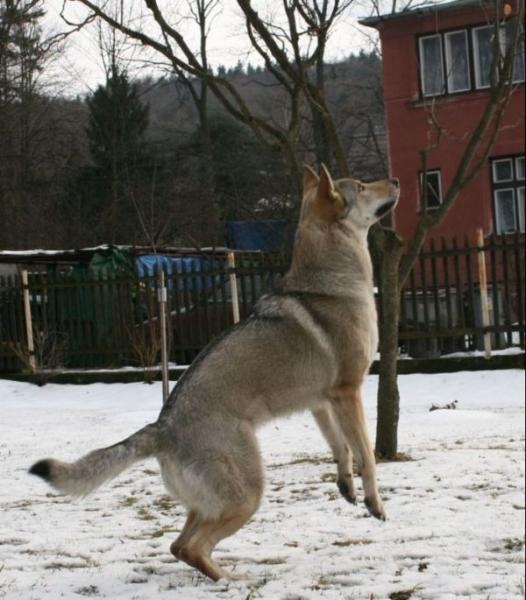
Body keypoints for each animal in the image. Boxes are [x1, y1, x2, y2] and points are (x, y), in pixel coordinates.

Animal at [29, 164, 400, 580]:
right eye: (363, 187)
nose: (396, 181)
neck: (330, 281)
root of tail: (162, 428)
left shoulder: (321, 402)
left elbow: (340, 448)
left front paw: (346, 488)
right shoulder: (347, 392)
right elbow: (367, 455)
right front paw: (374, 503)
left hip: (211, 504)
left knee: (179, 545)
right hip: (247, 494)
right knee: (191, 546)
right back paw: (231, 580)